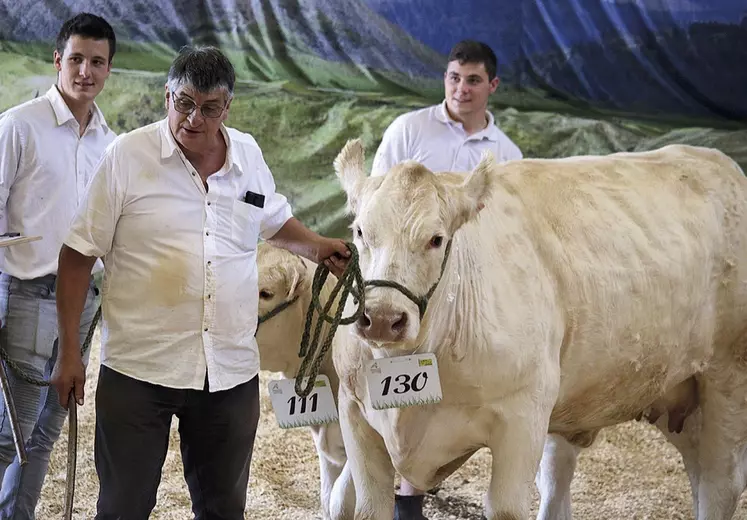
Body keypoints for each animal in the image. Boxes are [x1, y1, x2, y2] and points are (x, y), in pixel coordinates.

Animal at [332, 142, 747, 520]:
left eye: (436, 239)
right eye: (360, 231)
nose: (382, 317)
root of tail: (717, 161)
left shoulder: (523, 414)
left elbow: (507, 509)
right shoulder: (354, 413)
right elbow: (351, 504)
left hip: (726, 380)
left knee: (720, 484)